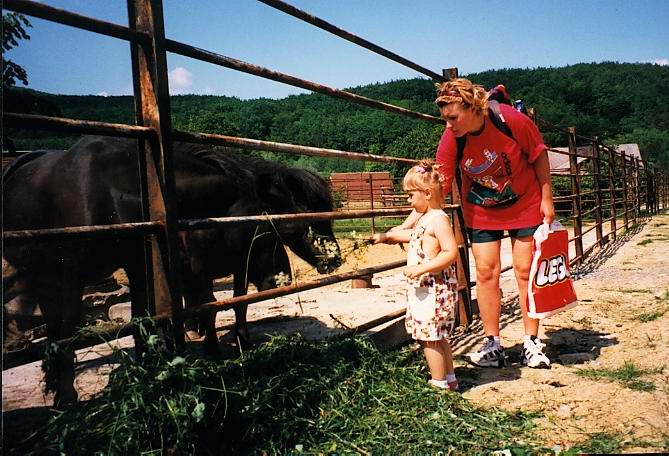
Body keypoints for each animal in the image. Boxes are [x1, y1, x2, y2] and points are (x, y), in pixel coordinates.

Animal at [2, 136, 342, 406]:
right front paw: (211, 349)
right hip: (48, 277)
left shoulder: (153, 266)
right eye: (279, 227)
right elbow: (208, 306)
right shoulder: (74, 276)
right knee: (56, 328)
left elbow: (232, 304)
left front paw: (238, 343)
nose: (335, 259)